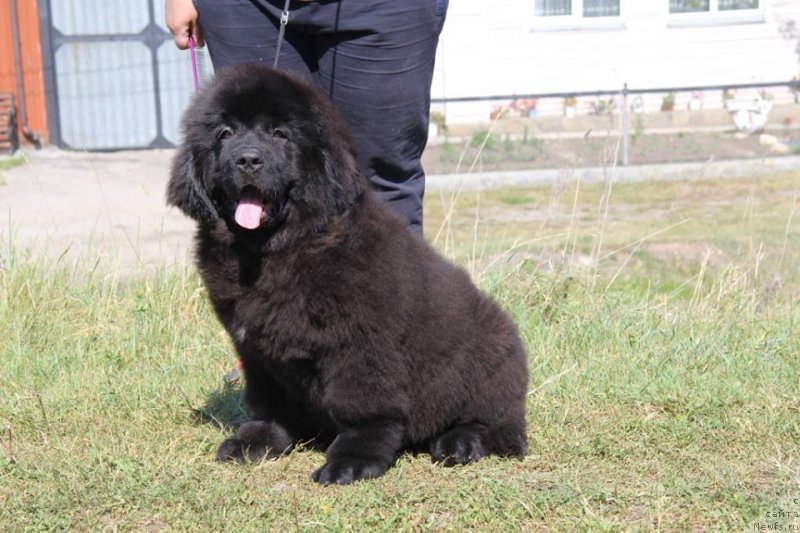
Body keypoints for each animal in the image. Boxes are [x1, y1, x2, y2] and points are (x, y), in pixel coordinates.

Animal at [166, 64, 528, 484]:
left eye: (280, 134)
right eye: (225, 134)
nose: (247, 160)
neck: (276, 251)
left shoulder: (358, 344)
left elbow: (363, 408)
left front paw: (353, 460)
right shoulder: (256, 350)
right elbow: (269, 403)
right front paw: (257, 441)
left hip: (489, 356)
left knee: (501, 428)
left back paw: (462, 442)